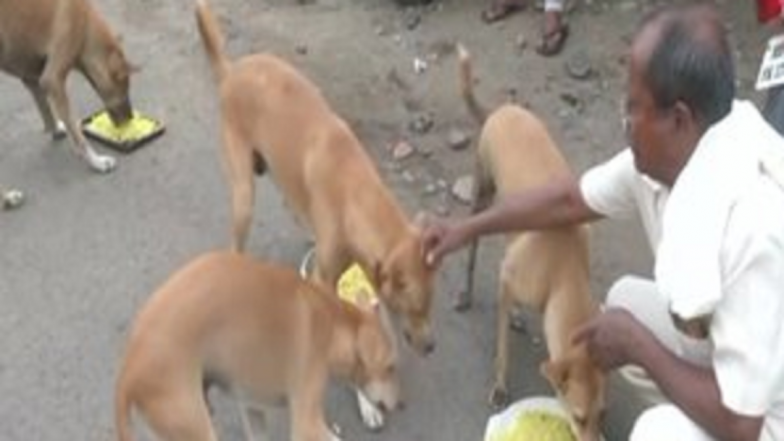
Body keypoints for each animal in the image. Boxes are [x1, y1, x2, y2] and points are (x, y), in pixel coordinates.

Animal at [0, 0, 135, 172]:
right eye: (125, 88)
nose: (131, 117)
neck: (87, 26)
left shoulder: (32, 78)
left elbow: (46, 110)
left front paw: (55, 130)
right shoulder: (53, 80)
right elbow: (76, 130)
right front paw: (96, 161)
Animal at [115, 251, 398, 440]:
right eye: (390, 367)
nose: (401, 404)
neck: (329, 320)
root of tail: (129, 370)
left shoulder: (251, 405)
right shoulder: (306, 424)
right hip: (193, 424)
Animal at [454, 45, 608, 440]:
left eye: (603, 415)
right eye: (579, 417)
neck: (564, 275)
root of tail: (500, 110)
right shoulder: (510, 282)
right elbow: (503, 350)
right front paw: (500, 385)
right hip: (482, 195)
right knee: (472, 250)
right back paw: (467, 292)